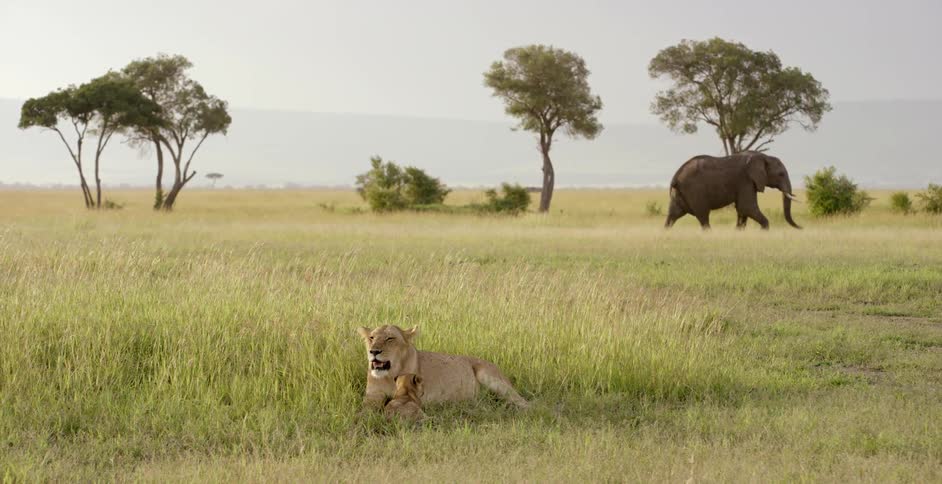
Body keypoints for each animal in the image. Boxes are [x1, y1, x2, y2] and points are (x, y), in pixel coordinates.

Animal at [356, 325, 529, 410]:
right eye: (372, 338)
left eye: (390, 338)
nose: (373, 351)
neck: (389, 374)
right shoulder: (373, 395)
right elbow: (365, 410)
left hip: (490, 376)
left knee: (521, 400)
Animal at [664, 152, 801, 230]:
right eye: (781, 174)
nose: (801, 227)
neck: (763, 156)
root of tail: (676, 176)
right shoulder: (745, 180)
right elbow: (747, 207)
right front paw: (764, 230)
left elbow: (742, 210)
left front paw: (738, 232)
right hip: (694, 191)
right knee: (703, 216)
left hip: (679, 194)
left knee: (673, 215)